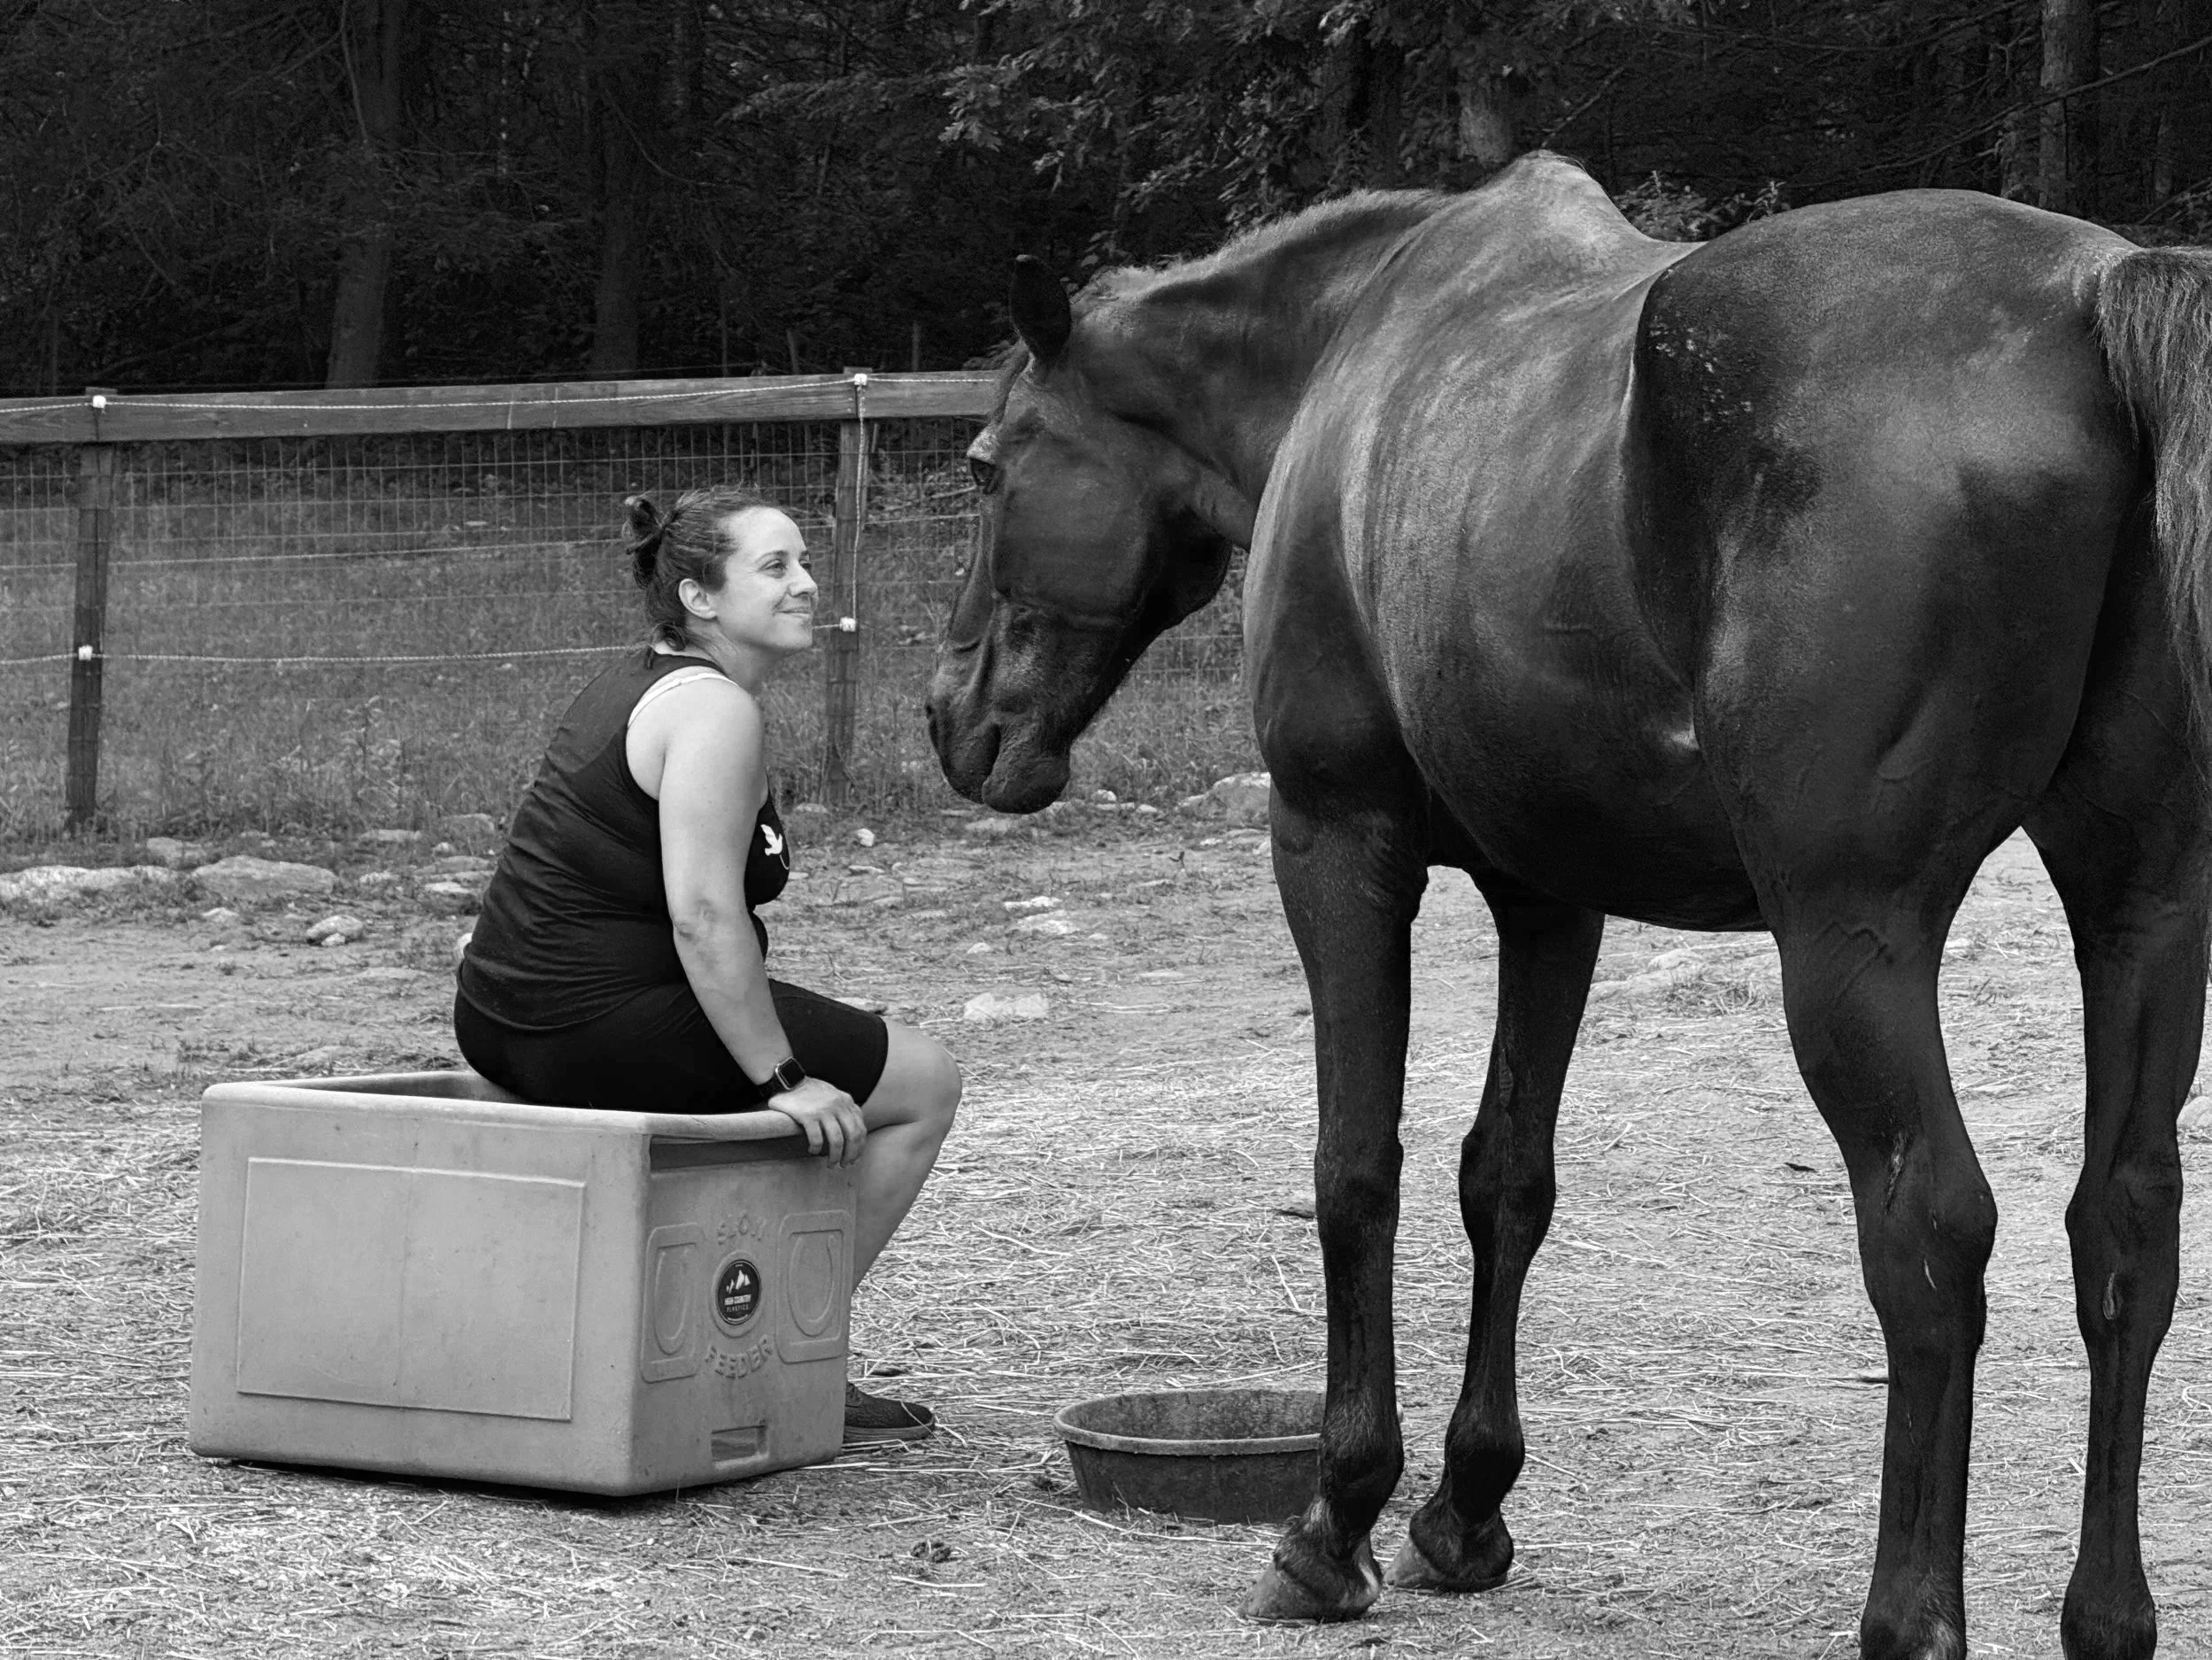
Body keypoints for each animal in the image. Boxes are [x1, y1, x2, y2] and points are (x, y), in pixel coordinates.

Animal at [926, 151, 2211, 1660]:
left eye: (987, 466)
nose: (953, 720)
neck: (1346, 353)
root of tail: (2086, 297)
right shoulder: (1548, 897)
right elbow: (1506, 1177)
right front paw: (1462, 1510)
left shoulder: (1334, 845)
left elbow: (1354, 1170)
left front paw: (1334, 1519)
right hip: (2138, 916)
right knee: (2122, 1229)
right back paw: (2105, 1616)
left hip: (1852, 945)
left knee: (1931, 1232)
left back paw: (1906, 1614)